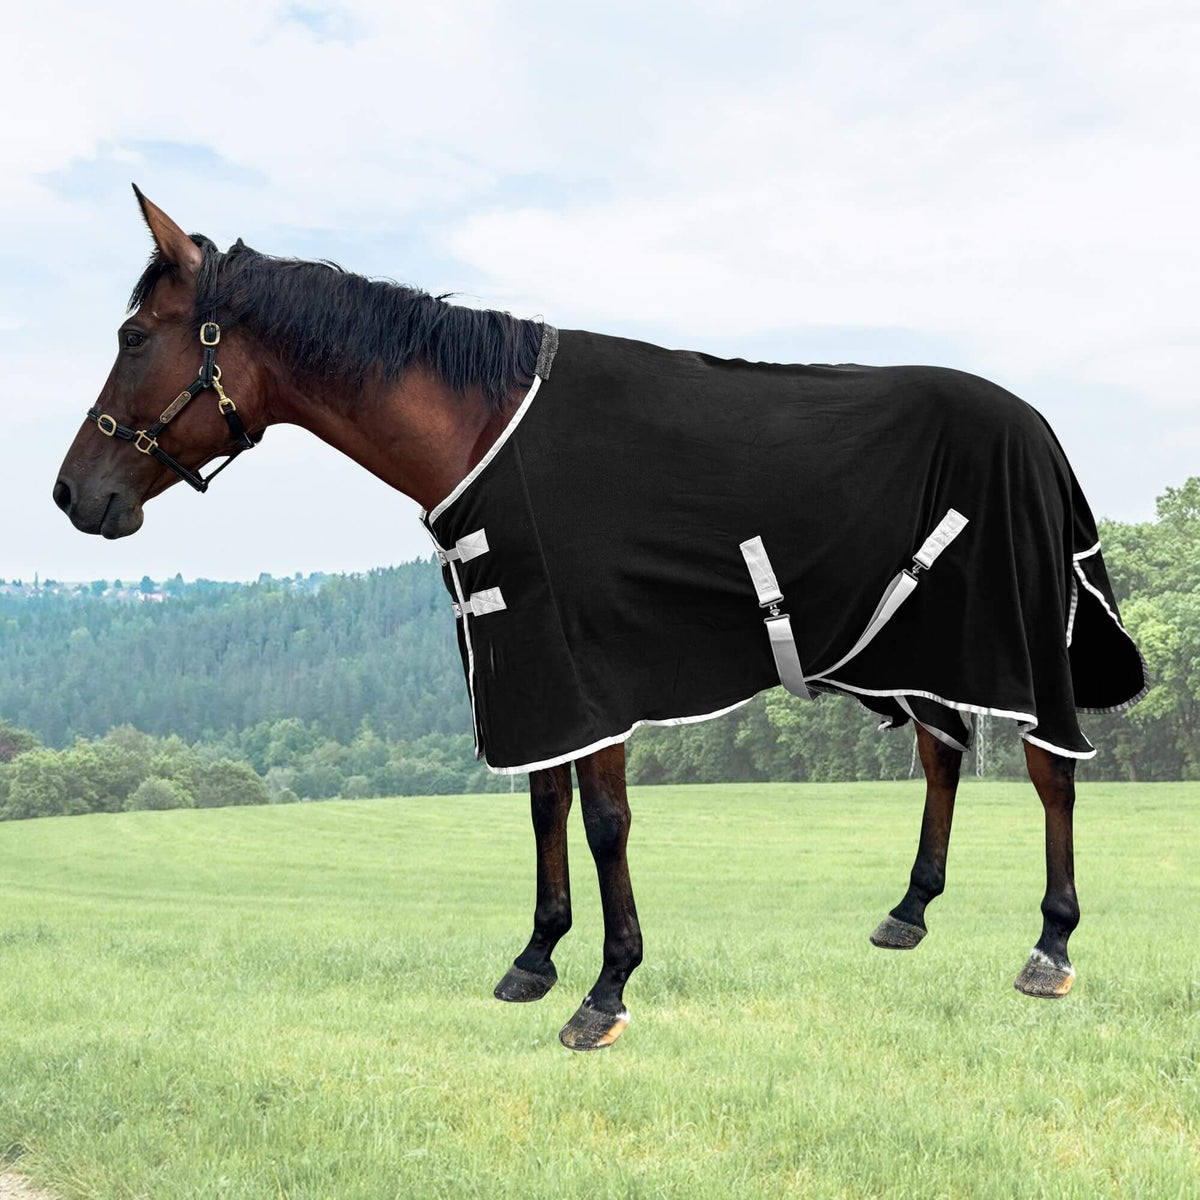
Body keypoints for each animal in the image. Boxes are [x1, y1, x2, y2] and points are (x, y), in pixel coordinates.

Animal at [54, 187, 1147, 1051]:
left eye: (135, 338)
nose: (74, 496)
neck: (486, 432)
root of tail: (1039, 426)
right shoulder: (528, 663)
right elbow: (546, 807)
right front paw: (537, 955)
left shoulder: (585, 666)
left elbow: (605, 821)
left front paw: (607, 990)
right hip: (911, 647)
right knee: (942, 748)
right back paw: (910, 909)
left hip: (1014, 636)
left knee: (1049, 768)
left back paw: (1051, 943)